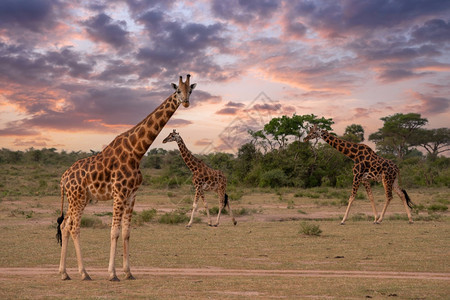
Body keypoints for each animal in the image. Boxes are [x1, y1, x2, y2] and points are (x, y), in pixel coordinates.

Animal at [55, 74, 196, 280]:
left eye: (190, 90)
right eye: (178, 90)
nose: (185, 102)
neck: (136, 152)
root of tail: (64, 178)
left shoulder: (132, 195)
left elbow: (127, 232)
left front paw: (128, 272)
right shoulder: (119, 193)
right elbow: (114, 232)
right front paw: (112, 273)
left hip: (81, 198)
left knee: (65, 225)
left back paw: (64, 273)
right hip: (77, 198)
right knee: (73, 227)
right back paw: (84, 273)